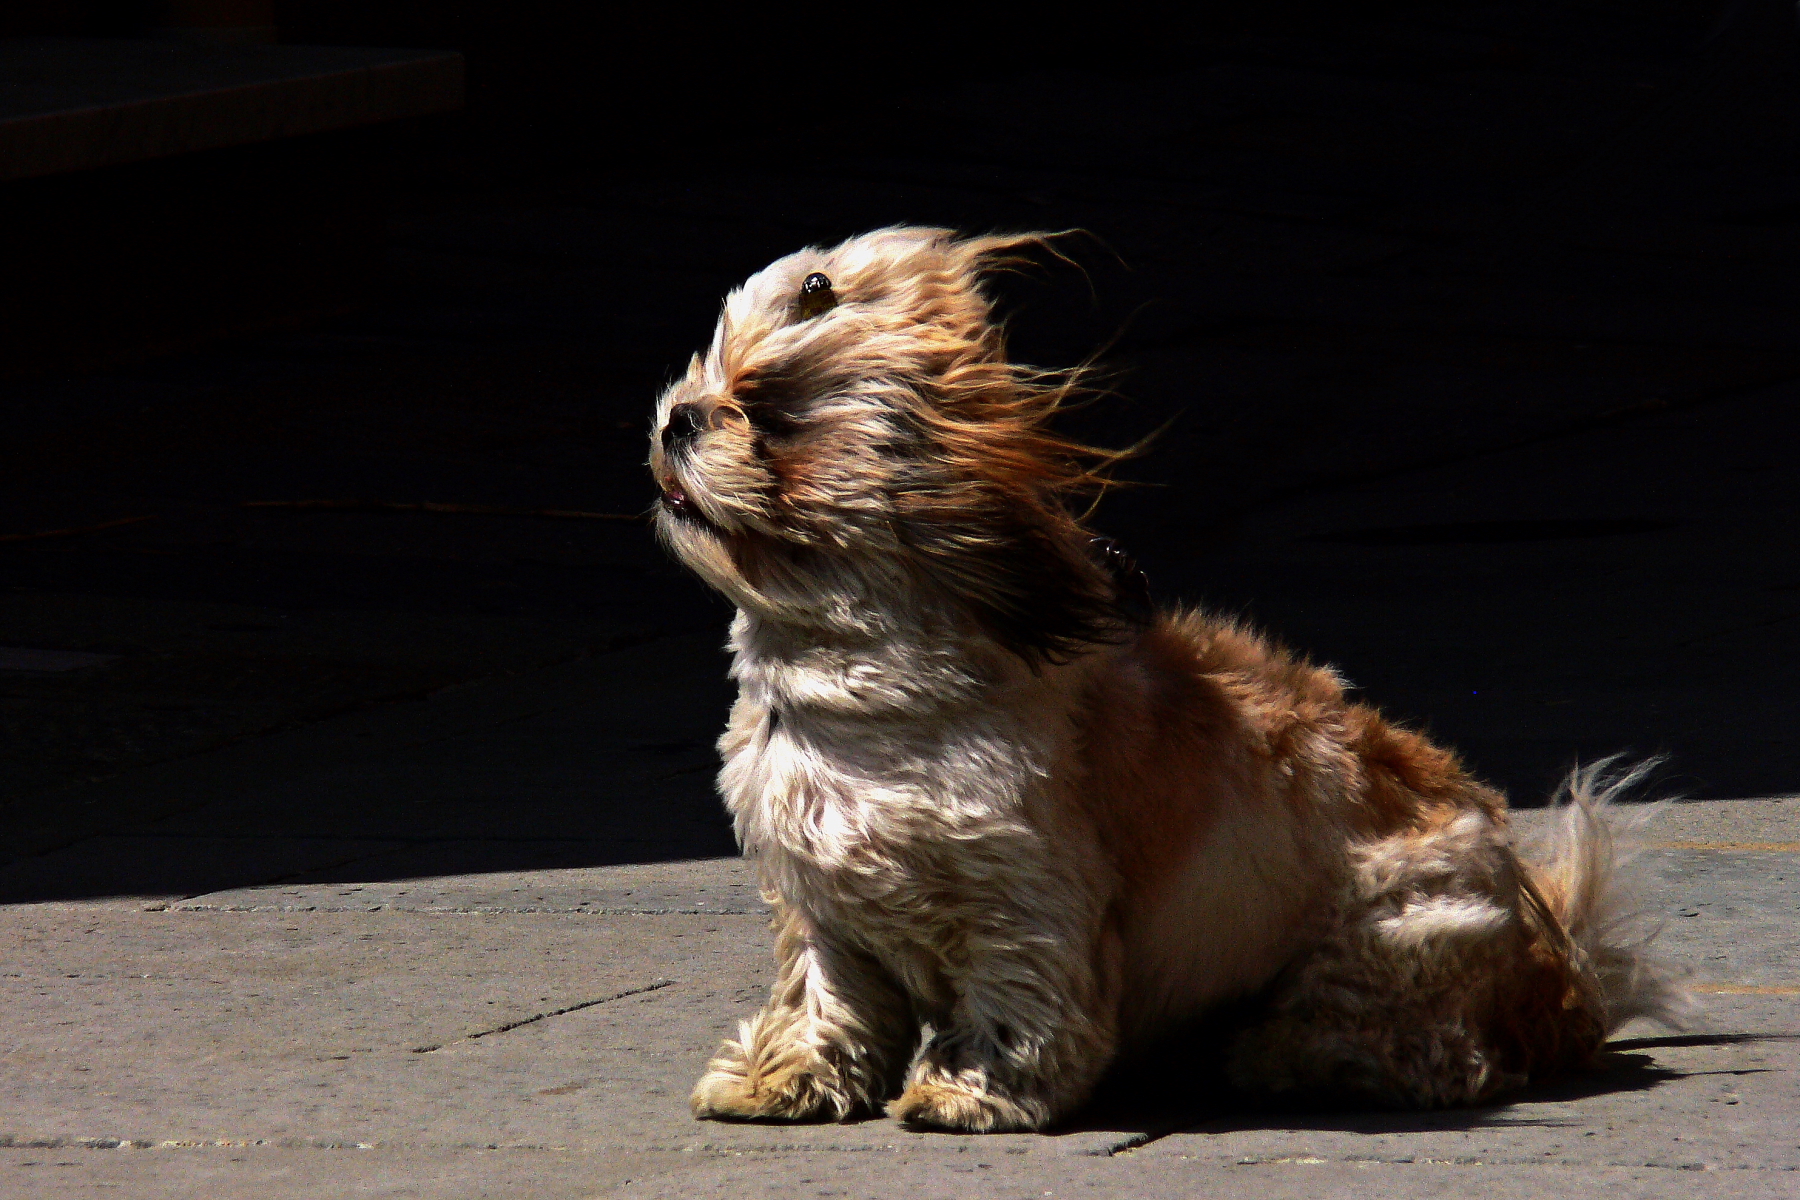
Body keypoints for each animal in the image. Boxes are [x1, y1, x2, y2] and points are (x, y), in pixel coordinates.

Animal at [651, 227, 1684, 1137]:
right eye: (708, 378)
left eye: (772, 417)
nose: (678, 418)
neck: (860, 693)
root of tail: (1558, 976)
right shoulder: (824, 909)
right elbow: (822, 1003)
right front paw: (785, 1079)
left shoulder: (1024, 899)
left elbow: (1016, 999)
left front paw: (972, 1090)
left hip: (1393, 929)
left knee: (1435, 1055)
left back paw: (1284, 1056)